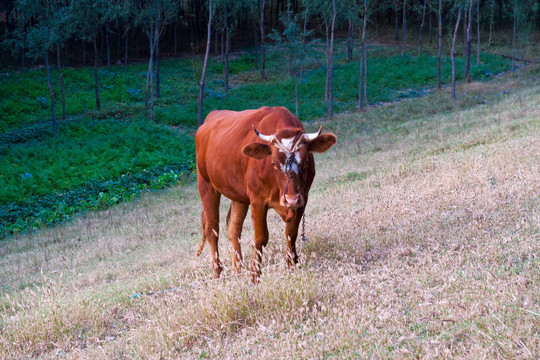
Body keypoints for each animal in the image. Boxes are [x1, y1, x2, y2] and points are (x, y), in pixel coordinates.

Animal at [194, 105, 338, 280]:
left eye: (305, 162)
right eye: (273, 163)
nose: (291, 199)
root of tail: (212, 115)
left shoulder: (303, 199)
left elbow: (291, 233)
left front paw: (292, 266)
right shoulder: (258, 201)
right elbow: (260, 238)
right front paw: (254, 275)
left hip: (239, 196)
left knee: (233, 228)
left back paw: (237, 272)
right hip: (206, 185)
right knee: (212, 230)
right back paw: (218, 274)